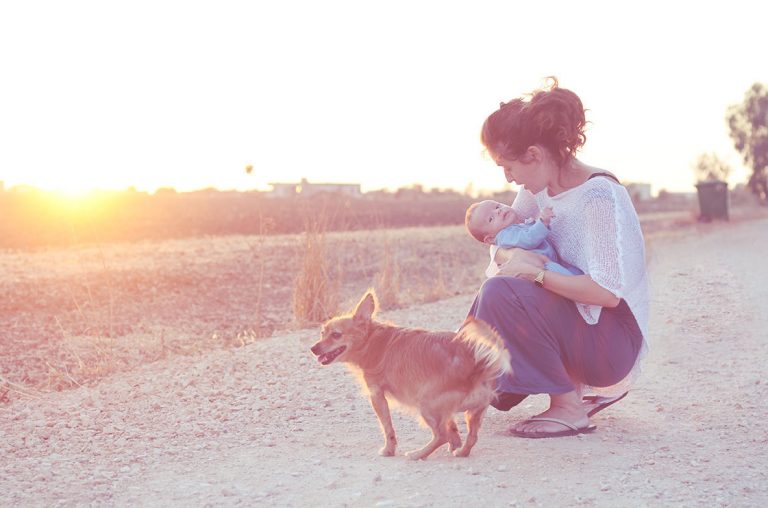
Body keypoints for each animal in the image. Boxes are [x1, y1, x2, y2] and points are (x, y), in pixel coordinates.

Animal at [310, 290, 511, 460]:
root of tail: (477, 364)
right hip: (473, 412)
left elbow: (387, 428)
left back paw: (418, 454)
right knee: (470, 437)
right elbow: (452, 427)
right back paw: (460, 452)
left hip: (425, 404)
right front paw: (455, 443)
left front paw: (388, 450)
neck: (371, 340)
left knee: (441, 435)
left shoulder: (376, 395)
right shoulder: (447, 412)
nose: (313, 348)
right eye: (322, 333)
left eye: (336, 335)